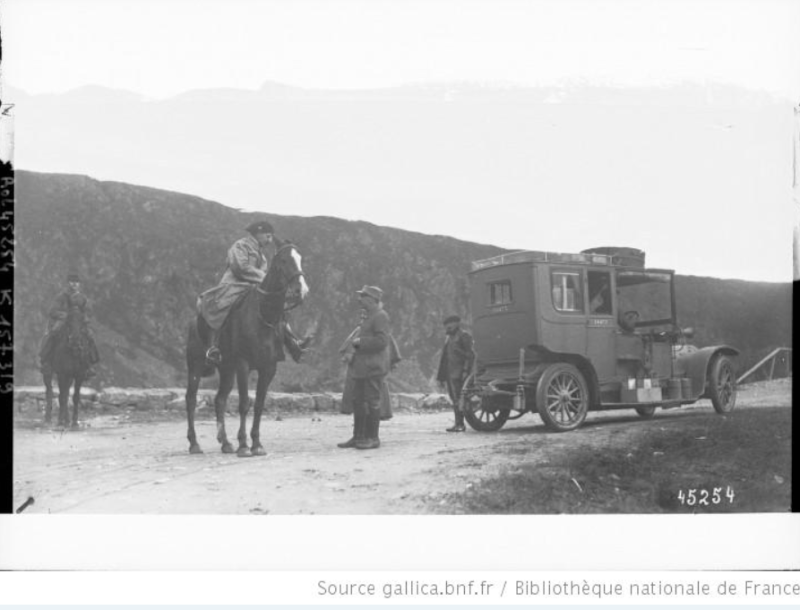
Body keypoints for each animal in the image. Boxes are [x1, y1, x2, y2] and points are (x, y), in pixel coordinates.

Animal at [185, 235, 310, 454]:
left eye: (300, 258)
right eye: (284, 260)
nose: (300, 290)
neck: (263, 314)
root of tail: (195, 321)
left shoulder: (268, 368)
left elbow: (259, 404)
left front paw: (256, 443)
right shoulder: (243, 364)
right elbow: (244, 403)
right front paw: (244, 445)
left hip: (227, 370)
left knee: (220, 400)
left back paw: (225, 443)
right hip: (196, 367)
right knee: (191, 400)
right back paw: (194, 443)